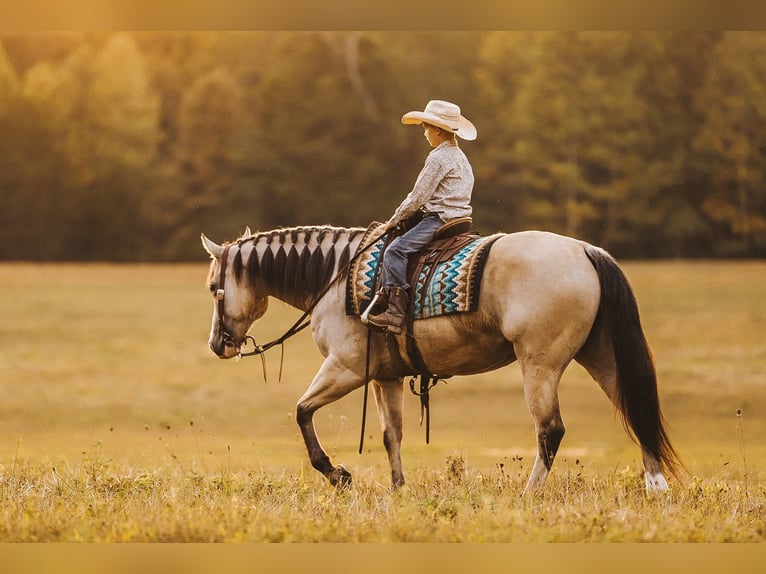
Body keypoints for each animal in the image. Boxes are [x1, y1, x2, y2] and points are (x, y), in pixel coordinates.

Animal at [200, 225, 684, 496]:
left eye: (213, 288)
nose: (217, 345)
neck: (337, 278)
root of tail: (585, 251)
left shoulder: (346, 368)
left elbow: (302, 412)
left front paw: (338, 475)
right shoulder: (386, 377)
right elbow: (390, 434)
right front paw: (398, 489)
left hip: (540, 365)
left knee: (551, 430)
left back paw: (530, 494)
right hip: (601, 356)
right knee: (635, 413)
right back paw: (655, 486)